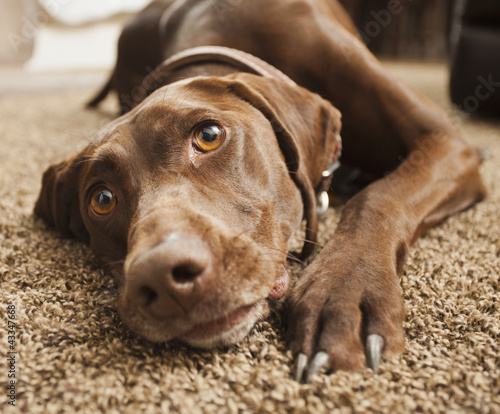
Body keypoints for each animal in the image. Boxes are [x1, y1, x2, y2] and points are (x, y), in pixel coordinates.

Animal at [34, 0, 484, 384]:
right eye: (101, 200)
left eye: (209, 136)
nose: (162, 277)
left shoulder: (447, 141)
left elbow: (375, 198)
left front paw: (344, 295)